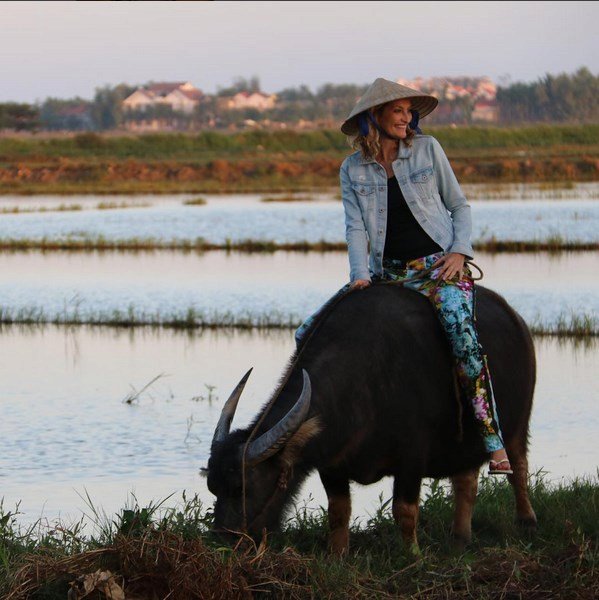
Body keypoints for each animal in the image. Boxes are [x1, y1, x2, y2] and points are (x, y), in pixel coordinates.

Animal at [207, 284, 540, 556]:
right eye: (213, 487)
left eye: (242, 488)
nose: (224, 540)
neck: (368, 380)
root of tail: (516, 319)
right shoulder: (332, 462)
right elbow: (338, 511)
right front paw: (337, 555)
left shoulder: (412, 458)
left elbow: (404, 510)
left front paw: (412, 556)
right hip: (464, 445)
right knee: (466, 482)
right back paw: (460, 538)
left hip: (517, 424)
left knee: (518, 469)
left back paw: (527, 521)